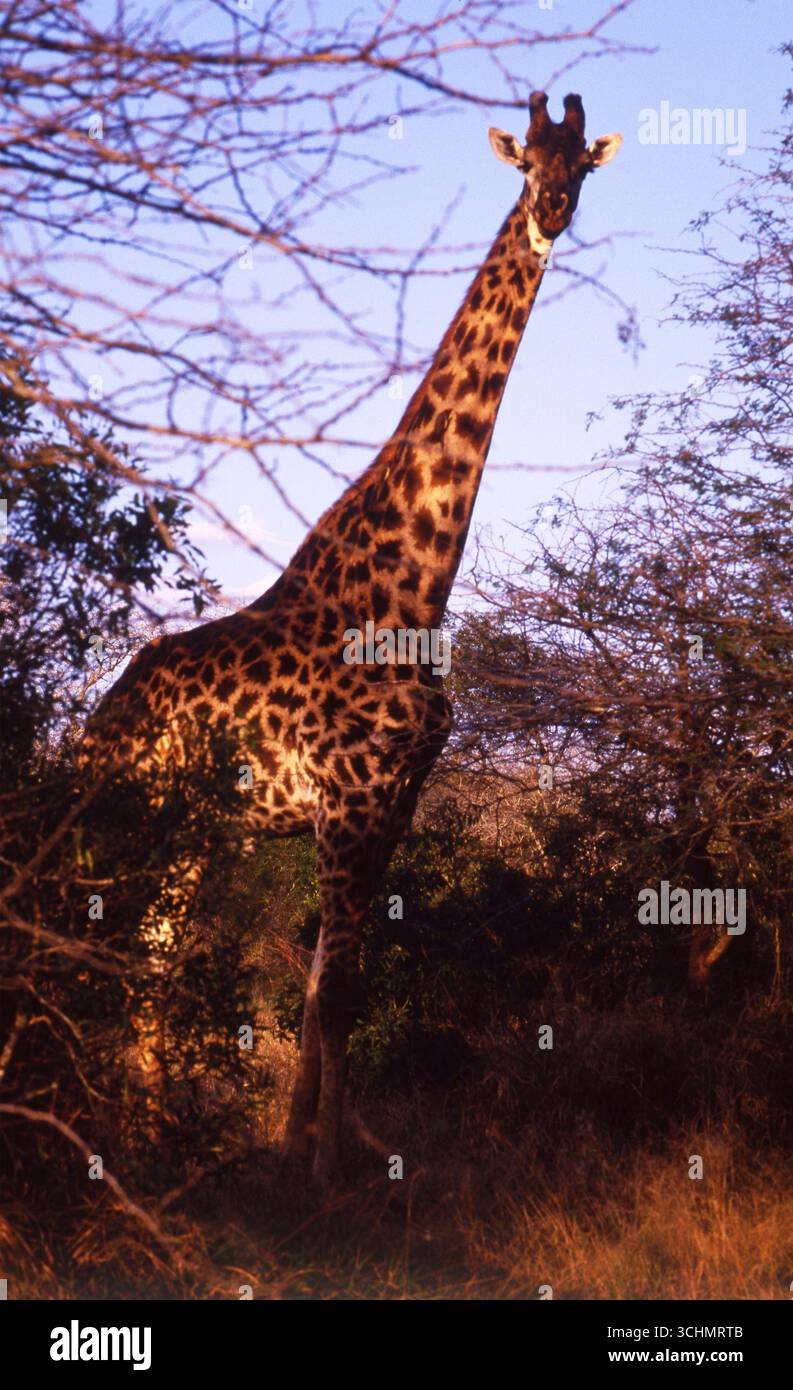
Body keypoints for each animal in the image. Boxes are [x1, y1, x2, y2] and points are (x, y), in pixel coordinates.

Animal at [80, 92, 621, 1183]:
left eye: (581, 164)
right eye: (524, 164)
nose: (549, 211)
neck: (415, 580)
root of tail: (95, 722)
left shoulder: (396, 795)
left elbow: (327, 984)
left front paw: (299, 1150)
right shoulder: (348, 792)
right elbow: (333, 992)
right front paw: (328, 1173)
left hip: (194, 835)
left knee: (150, 961)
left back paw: (150, 1138)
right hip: (135, 820)